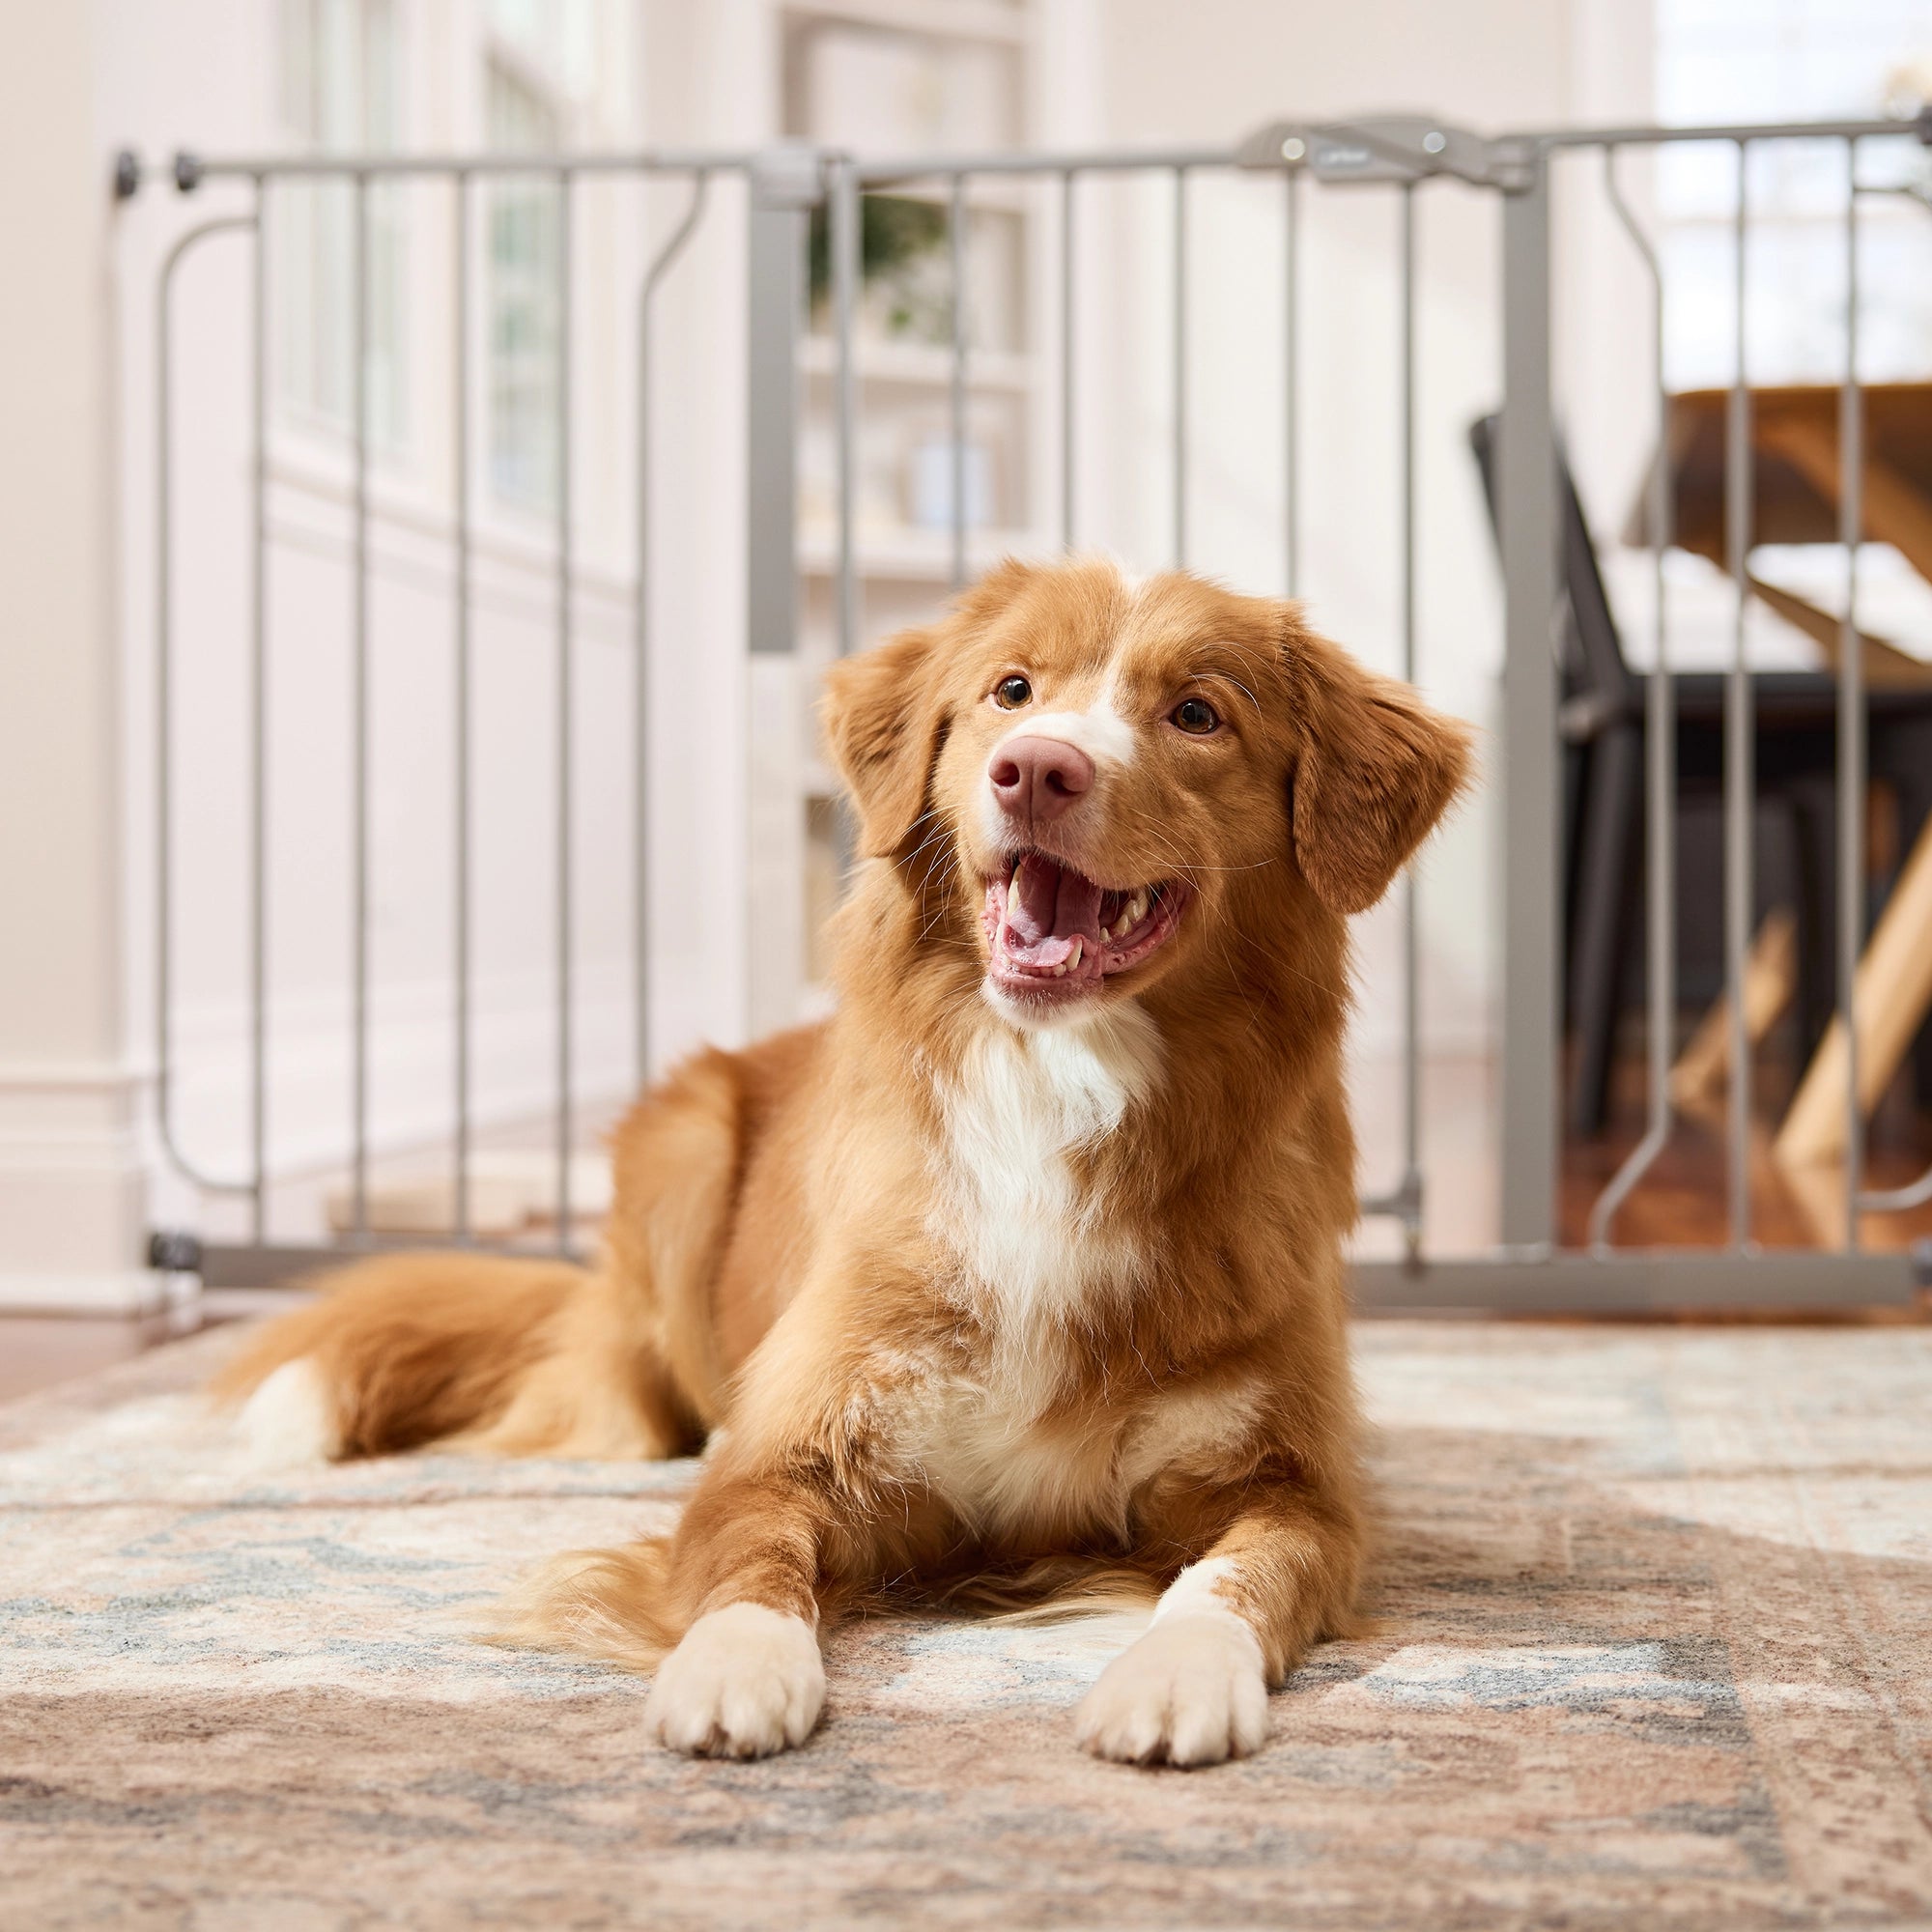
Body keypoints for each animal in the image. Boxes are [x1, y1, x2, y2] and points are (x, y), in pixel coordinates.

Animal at [215, 556, 1461, 1770]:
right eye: (1010, 690)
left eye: (1197, 713)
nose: (1034, 768)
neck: (1061, 1088)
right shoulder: (783, 1456)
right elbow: (748, 1563)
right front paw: (732, 1667)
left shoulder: (1293, 1489)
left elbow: (1233, 1577)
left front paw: (1176, 1673)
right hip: (680, 1144)